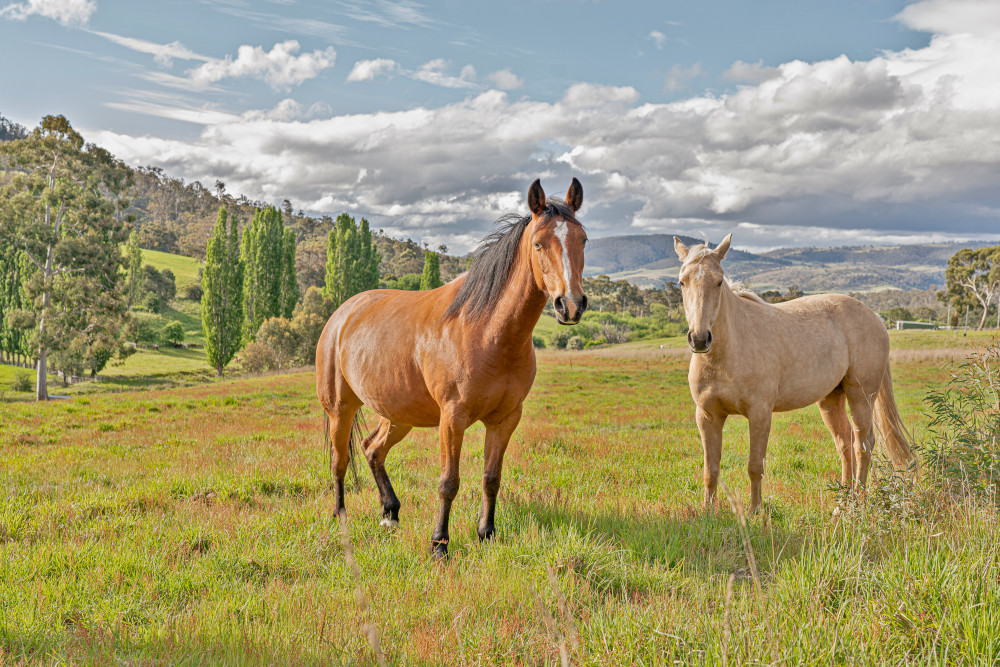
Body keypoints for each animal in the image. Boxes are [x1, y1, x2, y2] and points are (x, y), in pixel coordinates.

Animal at [316, 179, 589, 558]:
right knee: (339, 461)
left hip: (398, 415)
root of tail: (342, 314)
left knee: (373, 450)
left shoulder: (505, 419)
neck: (487, 331)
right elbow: (449, 482)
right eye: (538, 243)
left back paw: (390, 514)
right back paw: (340, 515)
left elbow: (491, 479)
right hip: (340, 410)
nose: (571, 305)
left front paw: (486, 534)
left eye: (583, 240)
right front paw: (439, 544)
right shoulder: (452, 418)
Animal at [673, 234, 913, 512]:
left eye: (719, 281)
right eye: (682, 282)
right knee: (845, 445)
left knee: (863, 445)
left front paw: (755, 512)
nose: (700, 339)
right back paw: (842, 503)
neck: (726, 354)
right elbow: (710, 470)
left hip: (861, 397)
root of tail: (875, 317)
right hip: (831, 398)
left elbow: (755, 466)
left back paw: (857, 502)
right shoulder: (707, 416)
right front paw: (708, 512)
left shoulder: (760, 414)